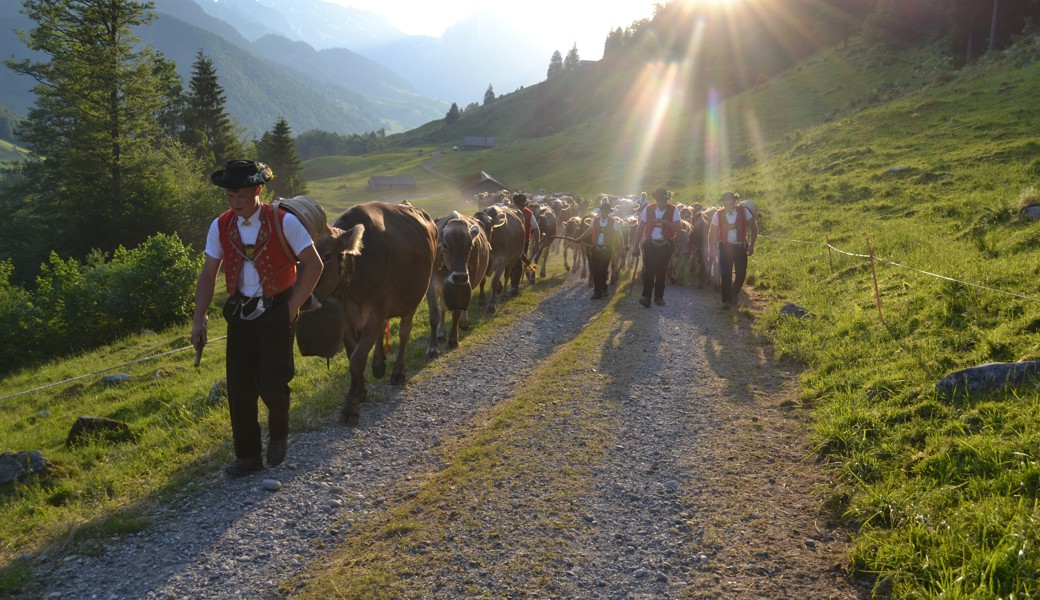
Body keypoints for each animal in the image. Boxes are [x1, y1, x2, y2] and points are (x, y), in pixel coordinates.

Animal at [299, 202, 436, 426]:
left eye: (326, 256)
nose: (304, 299)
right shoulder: (348, 320)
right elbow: (351, 355)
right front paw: (361, 390)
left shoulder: (374, 314)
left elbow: (357, 359)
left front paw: (351, 408)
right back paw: (379, 364)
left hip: (414, 297)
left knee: (404, 331)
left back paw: (398, 371)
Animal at [430, 210, 495, 355]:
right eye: (445, 245)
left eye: (470, 246)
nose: (459, 277)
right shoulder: (432, 285)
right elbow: (435, 315)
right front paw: (432, 348)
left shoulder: (464, 283)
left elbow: (457, 313)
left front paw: (453, 339)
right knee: (443, 307)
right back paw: (441, 332)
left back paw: (464, 322)